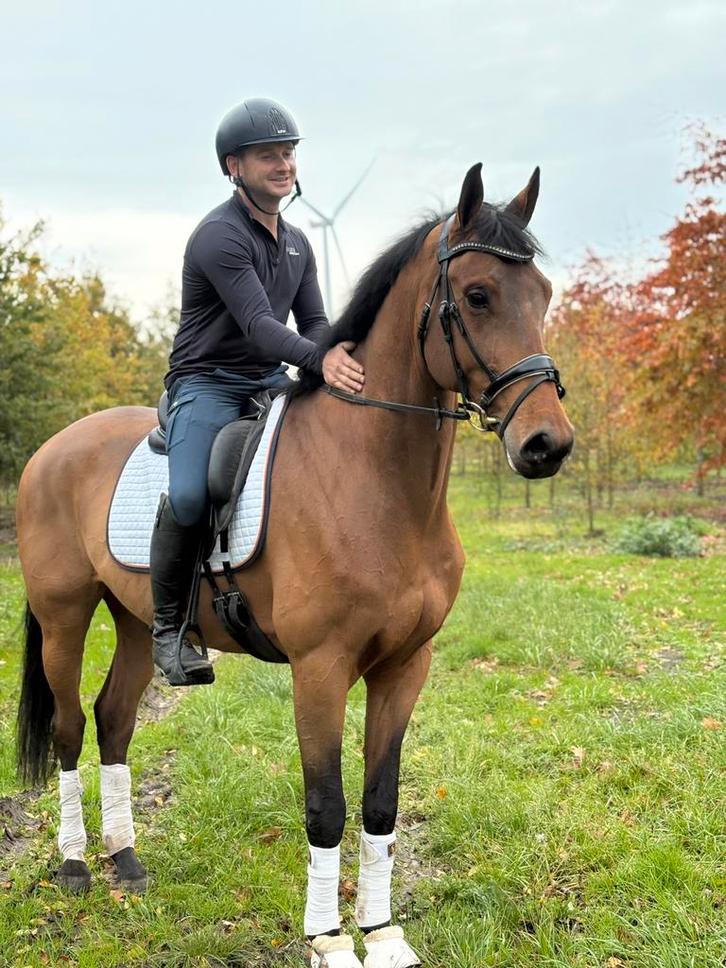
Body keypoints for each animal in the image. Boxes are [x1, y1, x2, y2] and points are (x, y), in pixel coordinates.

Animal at [15, 163, 573, 967]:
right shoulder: (321, 668)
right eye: (476, 295)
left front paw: (382, 932)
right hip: (64, 617)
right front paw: (329, 940)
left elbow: (380, 802)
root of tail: (50, 450)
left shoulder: (405, 665)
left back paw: (127, 860)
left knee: (113, 720)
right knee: (66, 729)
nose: (547, 445)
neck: (377, 483)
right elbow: (325, 806)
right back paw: (76, 866)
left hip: (135, 621)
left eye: (546, 294)